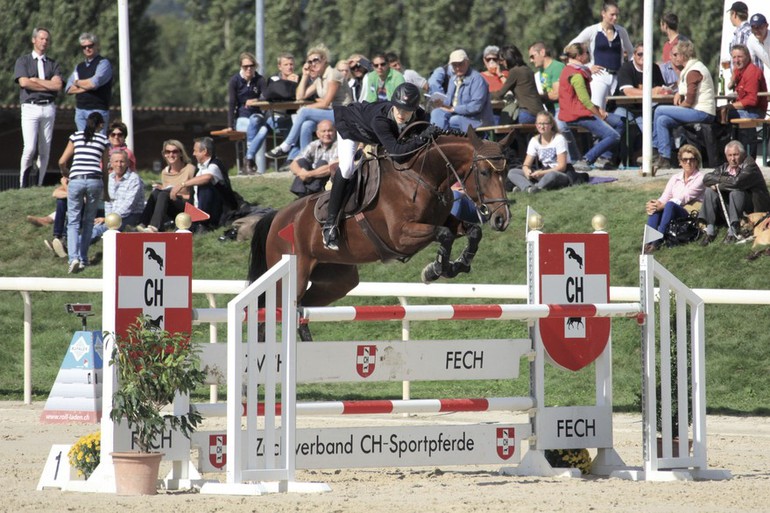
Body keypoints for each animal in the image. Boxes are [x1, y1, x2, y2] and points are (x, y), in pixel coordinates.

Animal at [246, 126, 510, 338]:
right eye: (484, 172)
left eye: (505, 173)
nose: (502, 219)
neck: (422, 177)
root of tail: (278, 217)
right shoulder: (402, 236)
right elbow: (444, 234)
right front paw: (436, 270)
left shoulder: (446, 220)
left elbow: (473, 231)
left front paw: (456, 265)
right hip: (293, 274)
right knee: (267, 313)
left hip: (338, 280)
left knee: (303, 308)